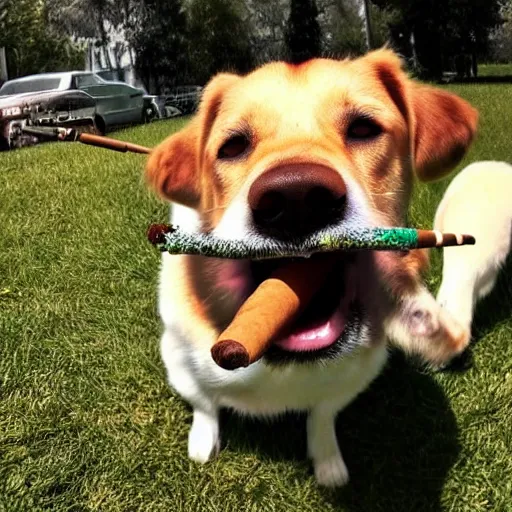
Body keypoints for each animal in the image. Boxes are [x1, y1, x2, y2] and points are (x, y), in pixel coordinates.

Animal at [145, 49, 480, 488]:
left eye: (363, 128)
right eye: (233, 146)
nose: (296, 197)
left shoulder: (352, 377)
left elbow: (321, 417)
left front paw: (328, 462)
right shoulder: (183, 363)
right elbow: (205, 405)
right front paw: (203, 440)